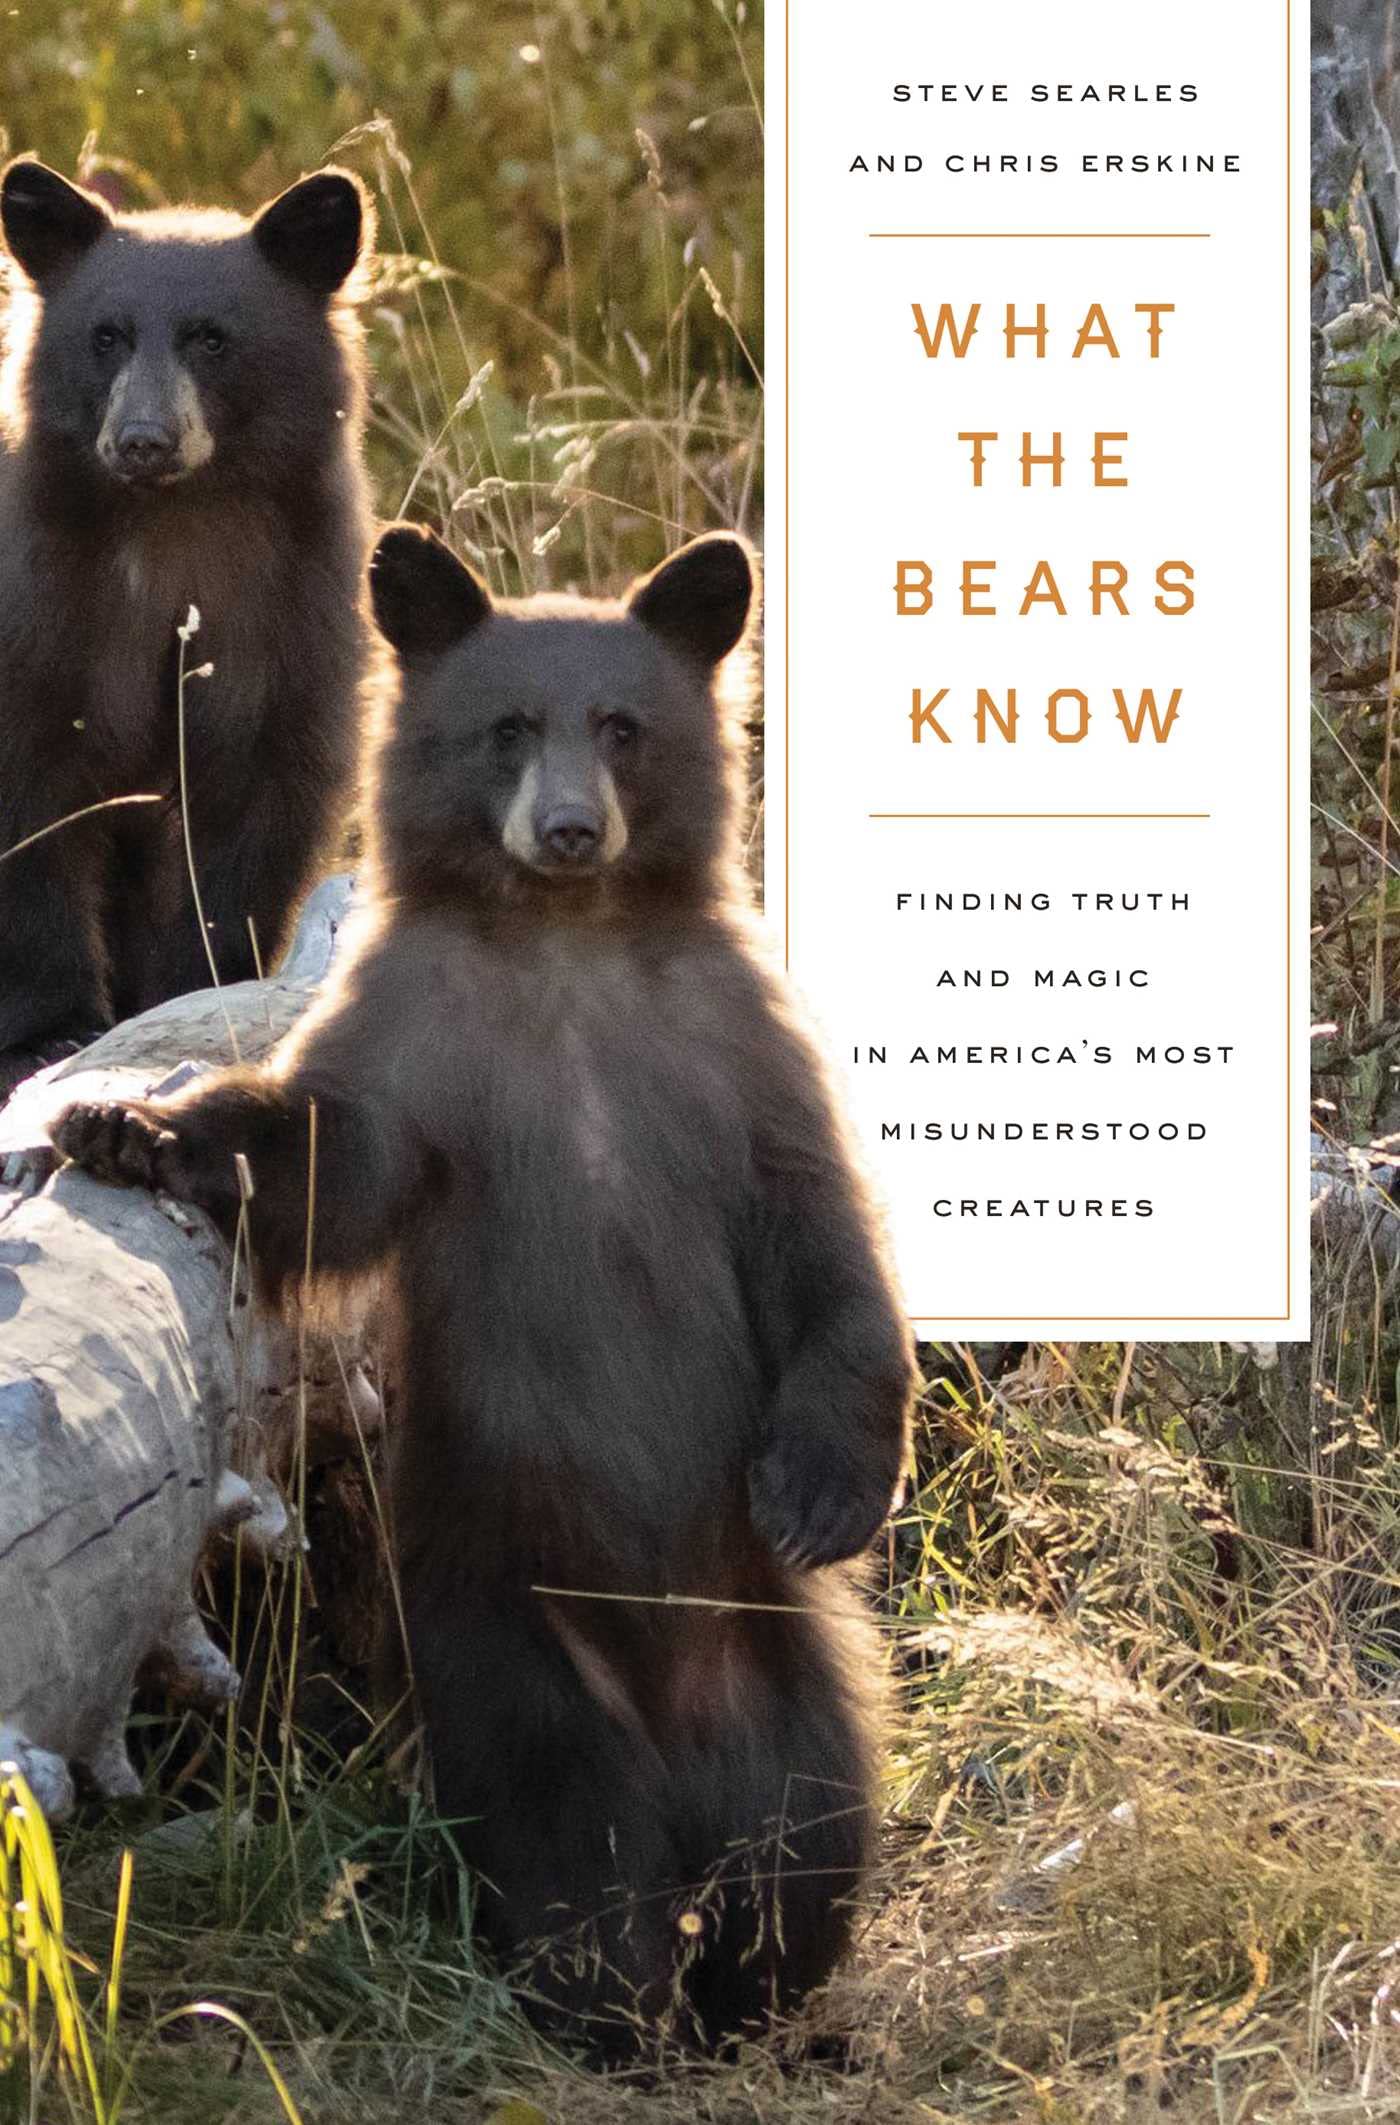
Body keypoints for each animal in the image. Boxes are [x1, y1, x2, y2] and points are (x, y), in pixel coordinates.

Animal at [0, 158, 376, 1095]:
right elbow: (31, 805)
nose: (142, 439)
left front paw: (191, 991)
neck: (177, 524)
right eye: (105, 336)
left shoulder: (286, 616)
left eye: (212, 338)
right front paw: (50, 1029)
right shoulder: (43, 612)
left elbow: (255, 808)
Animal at [51, 523, 916, 2059]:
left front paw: (822, 1487)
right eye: (507, 727)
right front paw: (126, 1124)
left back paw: (760, 2000)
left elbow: (827, 1244)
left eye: (621, 726)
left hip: (786, 1670)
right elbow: (322, 1156)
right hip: (506, 1644)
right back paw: (612, 2009)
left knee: (808, 1841)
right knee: (571, 1847)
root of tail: (679, 1744)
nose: (570, 831)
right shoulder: (424, 1047)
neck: (566, 952)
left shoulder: (735, 1054)